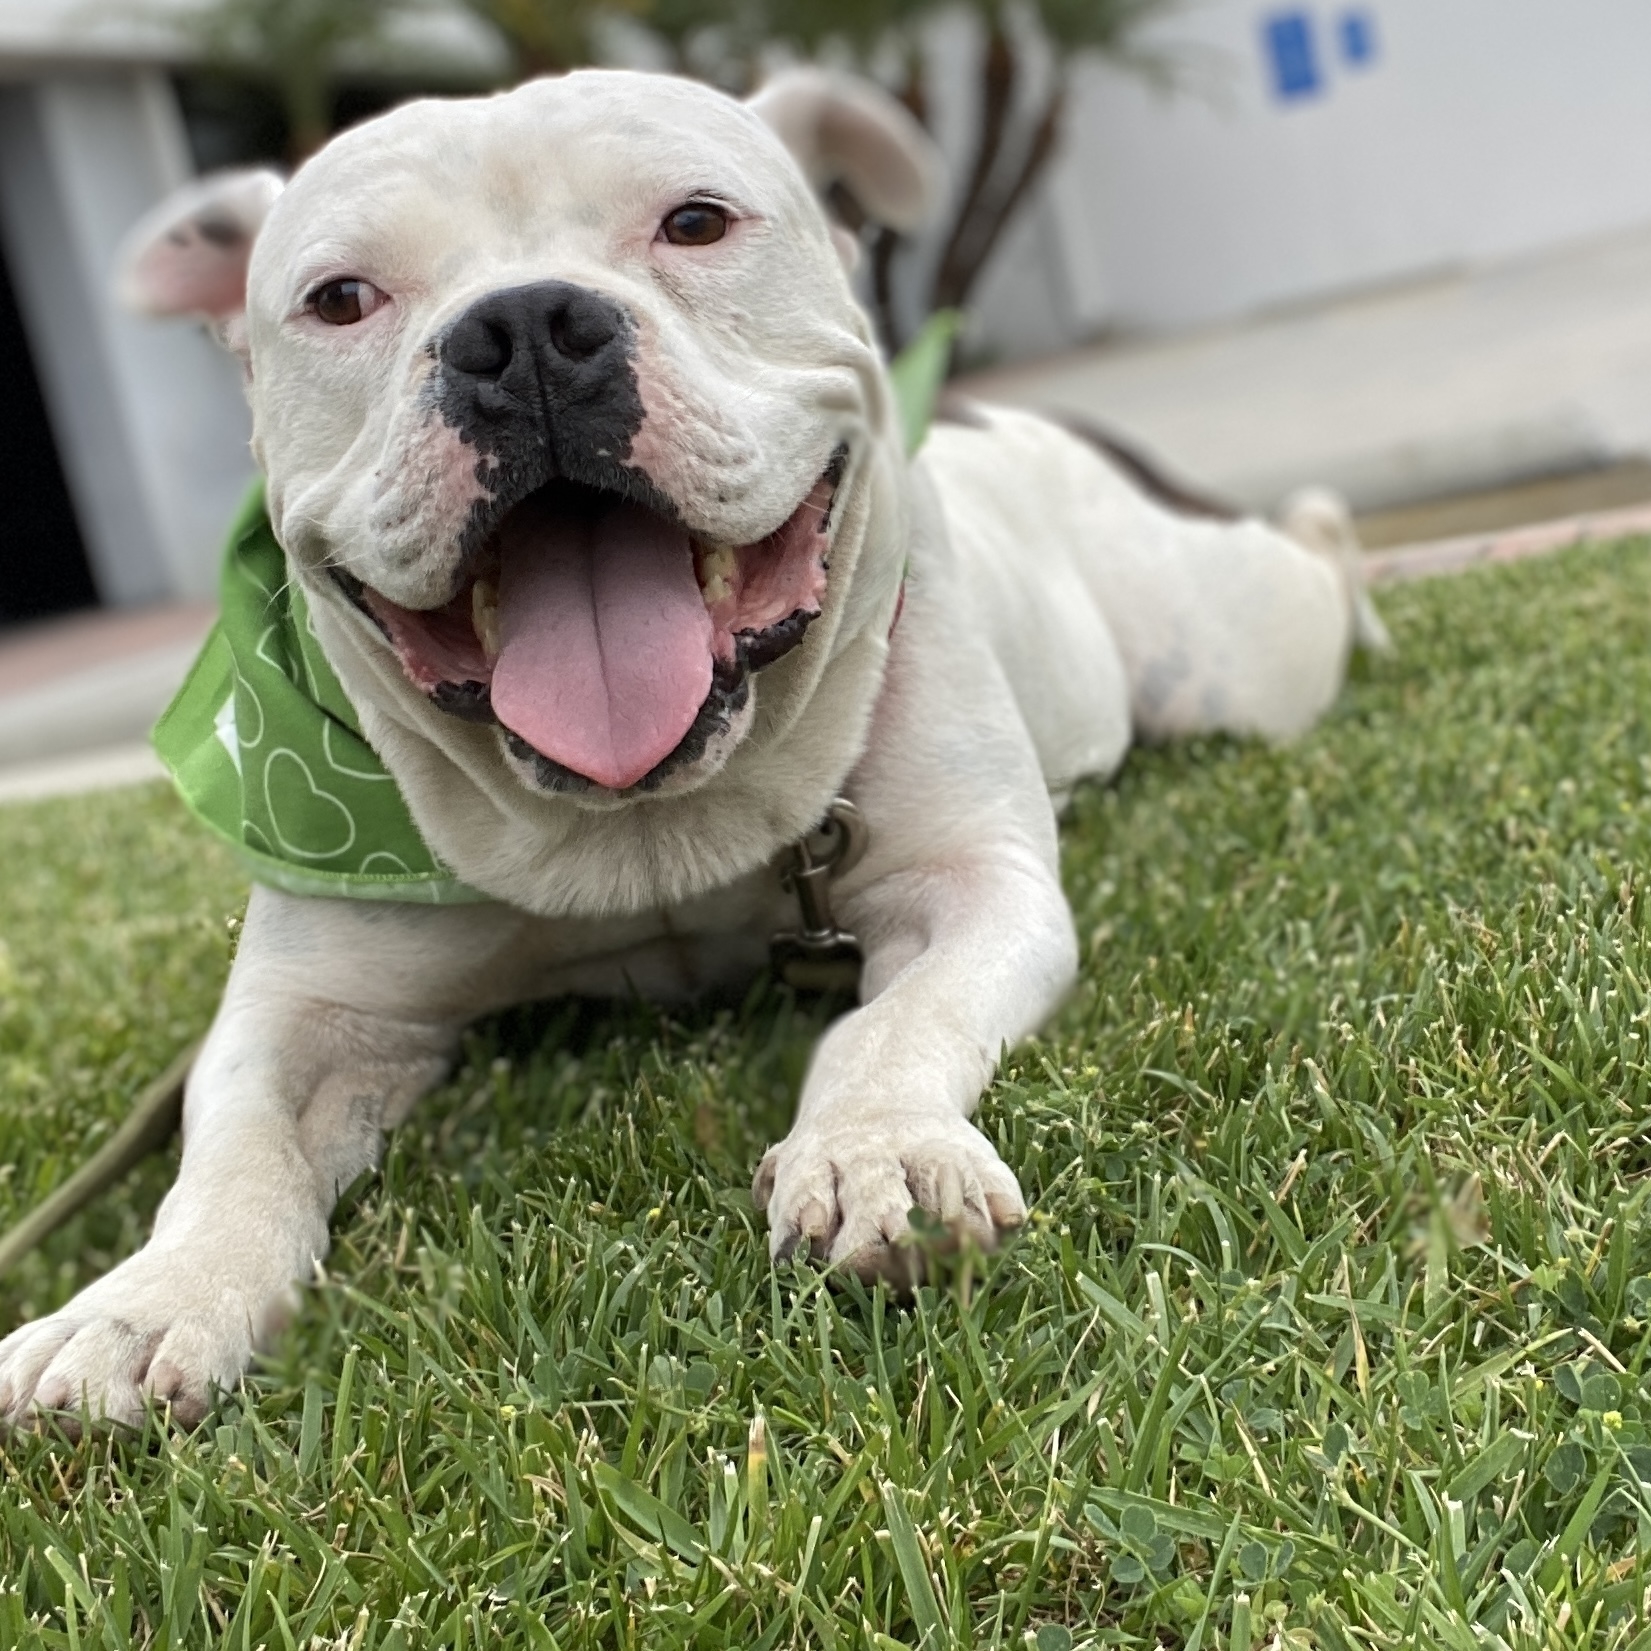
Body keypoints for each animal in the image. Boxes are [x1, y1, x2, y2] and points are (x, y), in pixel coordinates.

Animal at [0, 70, 1373, 1426]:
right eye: (340, 298)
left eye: (697, 222)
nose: (525, 328)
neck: (643, 824)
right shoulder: (311, 1009)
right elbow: (234, 1143)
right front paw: (145, 1300)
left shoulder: (974, 888)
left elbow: (893, 1023)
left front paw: (874, 1149)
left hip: (1237, 651)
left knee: (1305, 564)